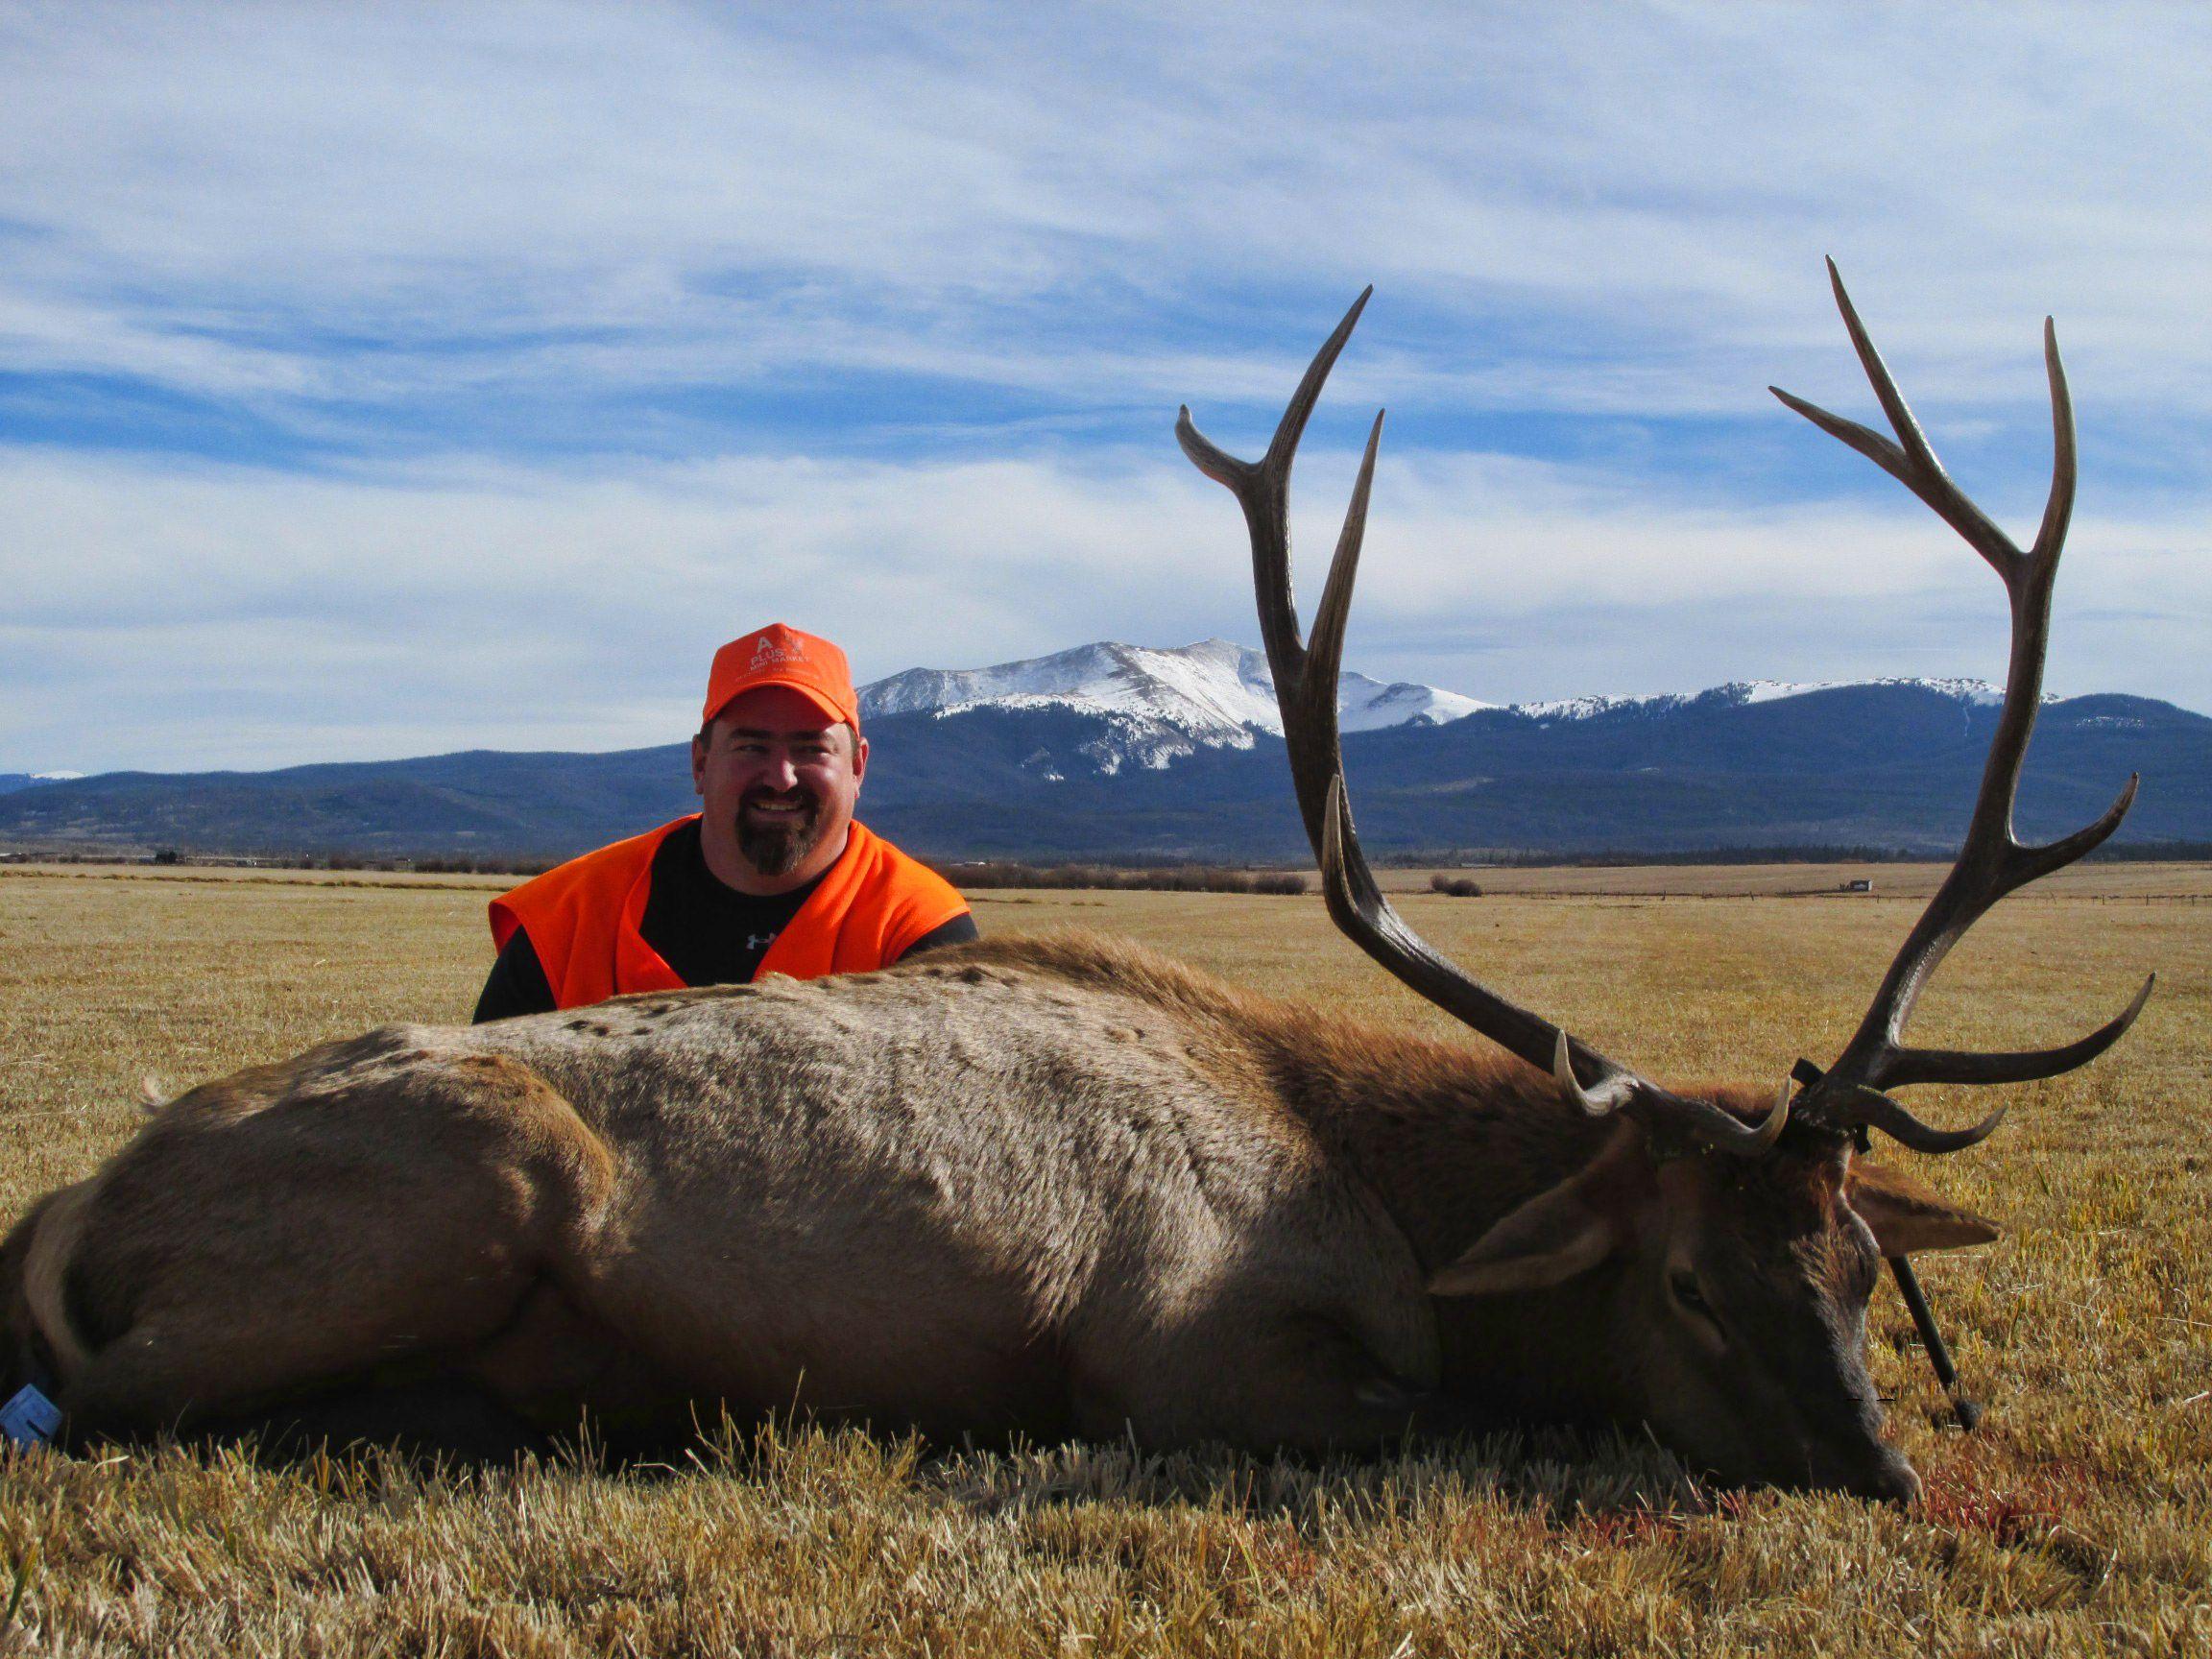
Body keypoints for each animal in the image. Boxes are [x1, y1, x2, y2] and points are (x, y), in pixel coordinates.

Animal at [0, 266, 2152, 1503]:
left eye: (1857, 1263)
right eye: (1685, 1280)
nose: (1878, 1475)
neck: (1386, 1189)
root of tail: (74, 1204)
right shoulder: (1189, 1348)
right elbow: (1440, 1417)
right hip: (477, 1171)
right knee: (129, 1405)